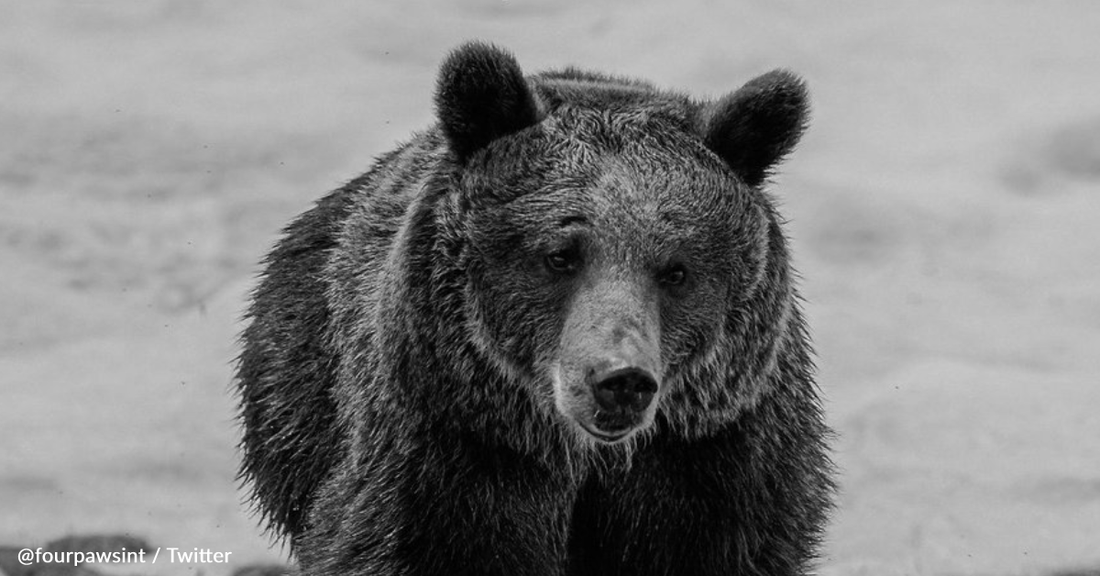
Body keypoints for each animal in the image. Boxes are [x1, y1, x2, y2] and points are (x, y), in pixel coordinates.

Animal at [234, 41, 831, 576]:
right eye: (560, 254)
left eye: (676, 270)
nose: (619, 380)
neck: (584, 461)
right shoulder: (449, 460)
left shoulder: (714, 467)